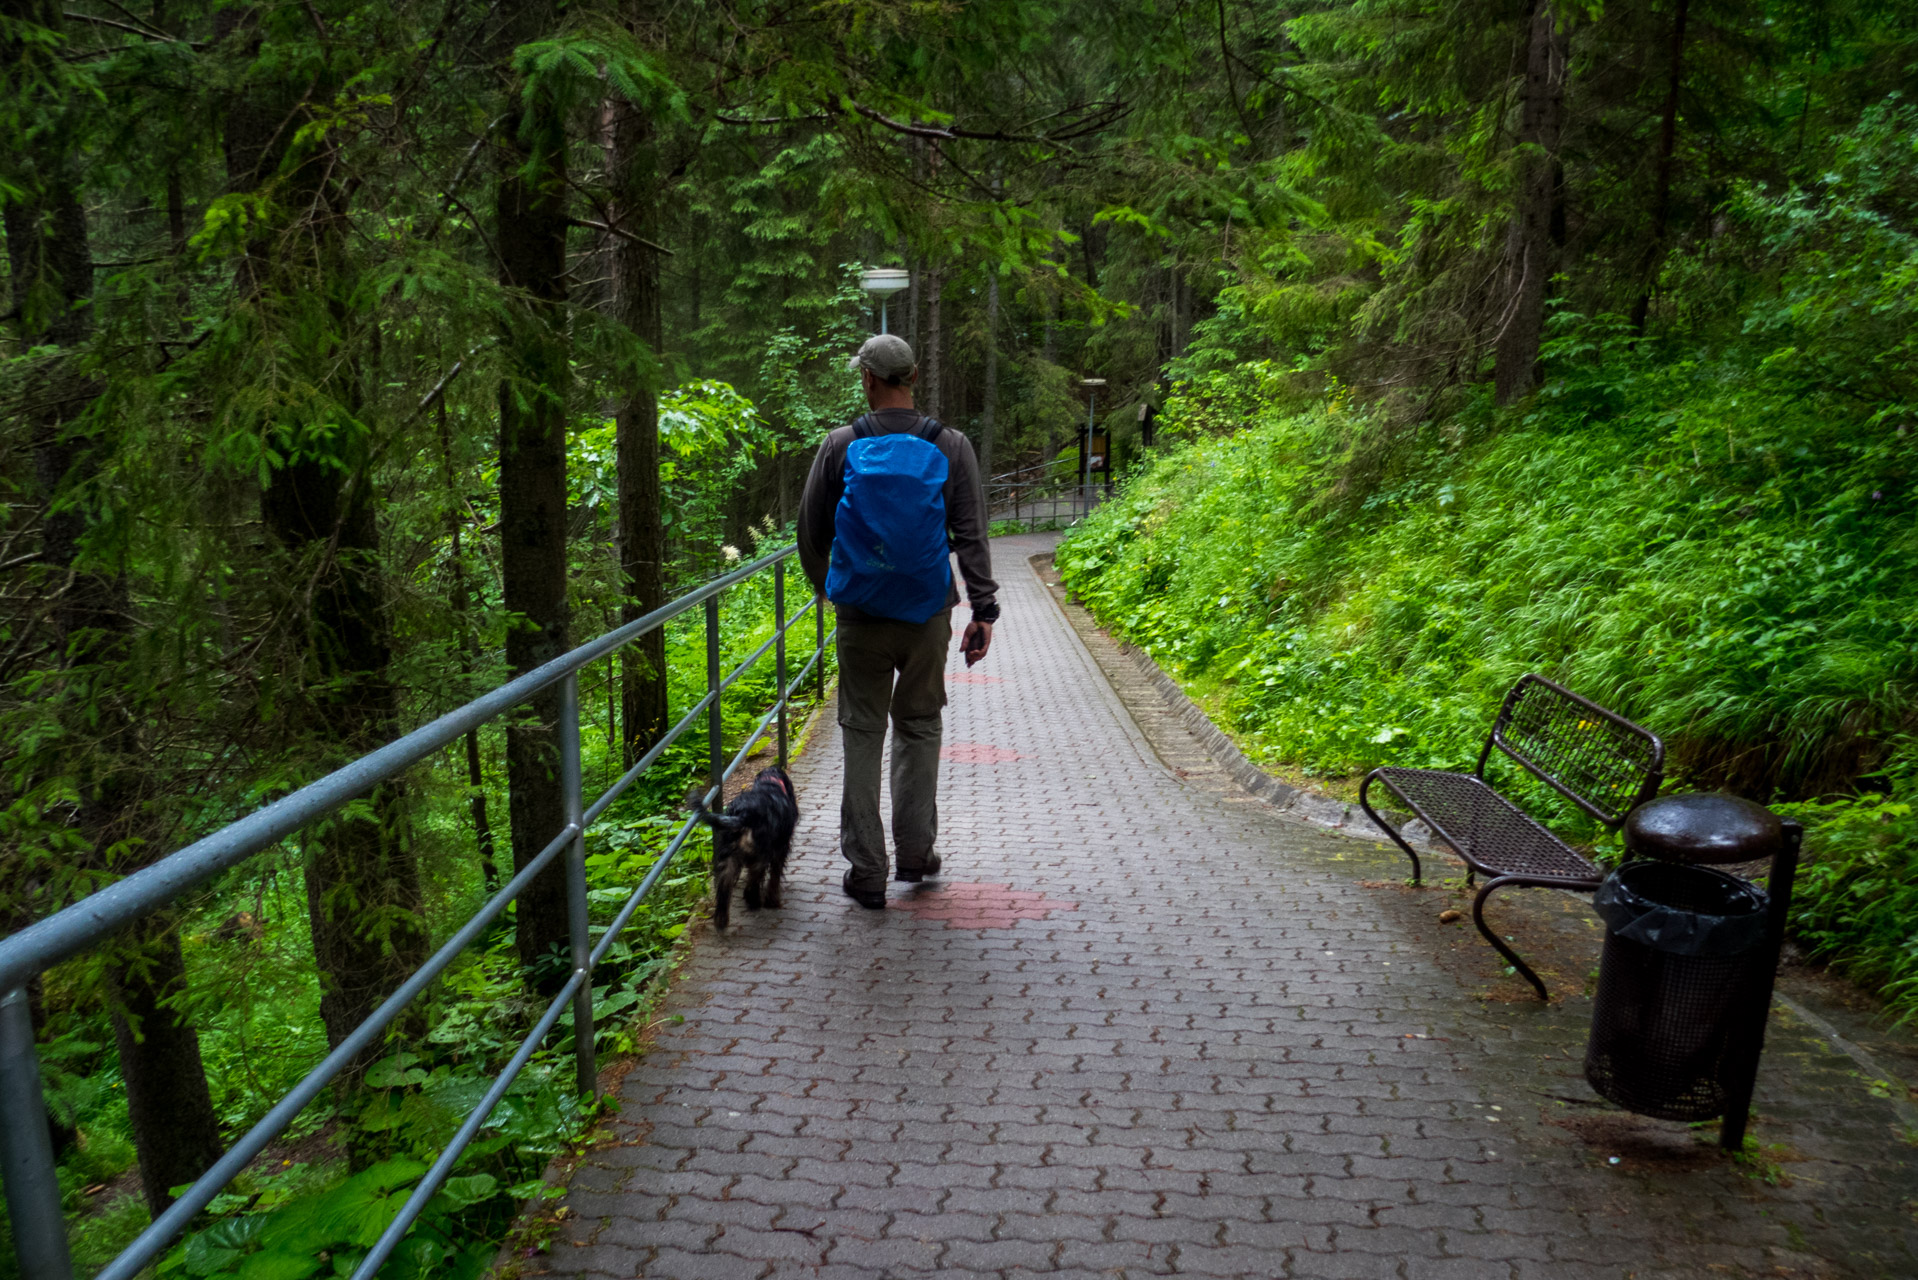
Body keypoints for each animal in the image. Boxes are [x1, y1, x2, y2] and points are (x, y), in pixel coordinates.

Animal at [694, 759, 797, 932]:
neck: (770, 784)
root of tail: (744, 814)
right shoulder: (780, 848)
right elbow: (775, 876)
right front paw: (772, 900)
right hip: (760, 855)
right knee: (752, 883)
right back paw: (754, 902)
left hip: (727, 857)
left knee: (724, 888)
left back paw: (721, 920)